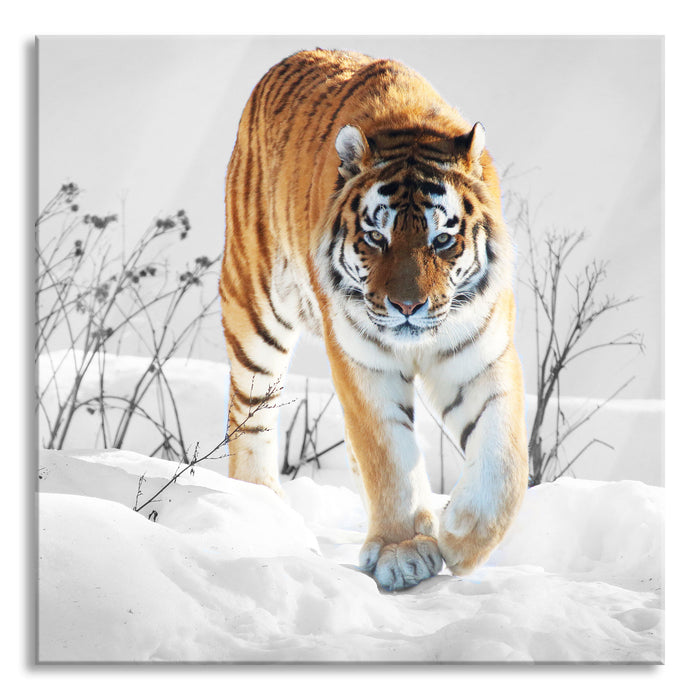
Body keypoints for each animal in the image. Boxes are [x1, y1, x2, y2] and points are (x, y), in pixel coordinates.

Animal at [219, 49, 528, 591]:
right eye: (375, 238)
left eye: (441, 241)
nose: (407, 306)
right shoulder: (363, 361)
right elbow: (388, 454)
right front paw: (403, 551)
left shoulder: (479, 355)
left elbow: (505, 456)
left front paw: (462, 536)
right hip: (255, 309)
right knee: (250, 412)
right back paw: (261, 505)